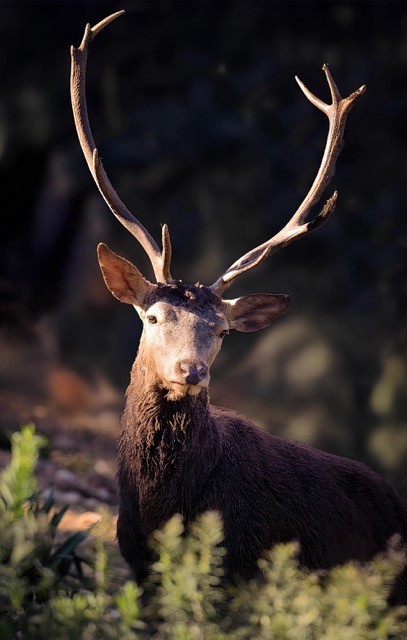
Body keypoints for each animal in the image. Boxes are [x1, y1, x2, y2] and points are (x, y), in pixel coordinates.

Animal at [71, 11, 407, 604]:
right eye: (153, 317)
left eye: (223, 330)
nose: (191, 370)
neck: (164, 510)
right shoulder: (138, 565)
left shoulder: (241, 568)